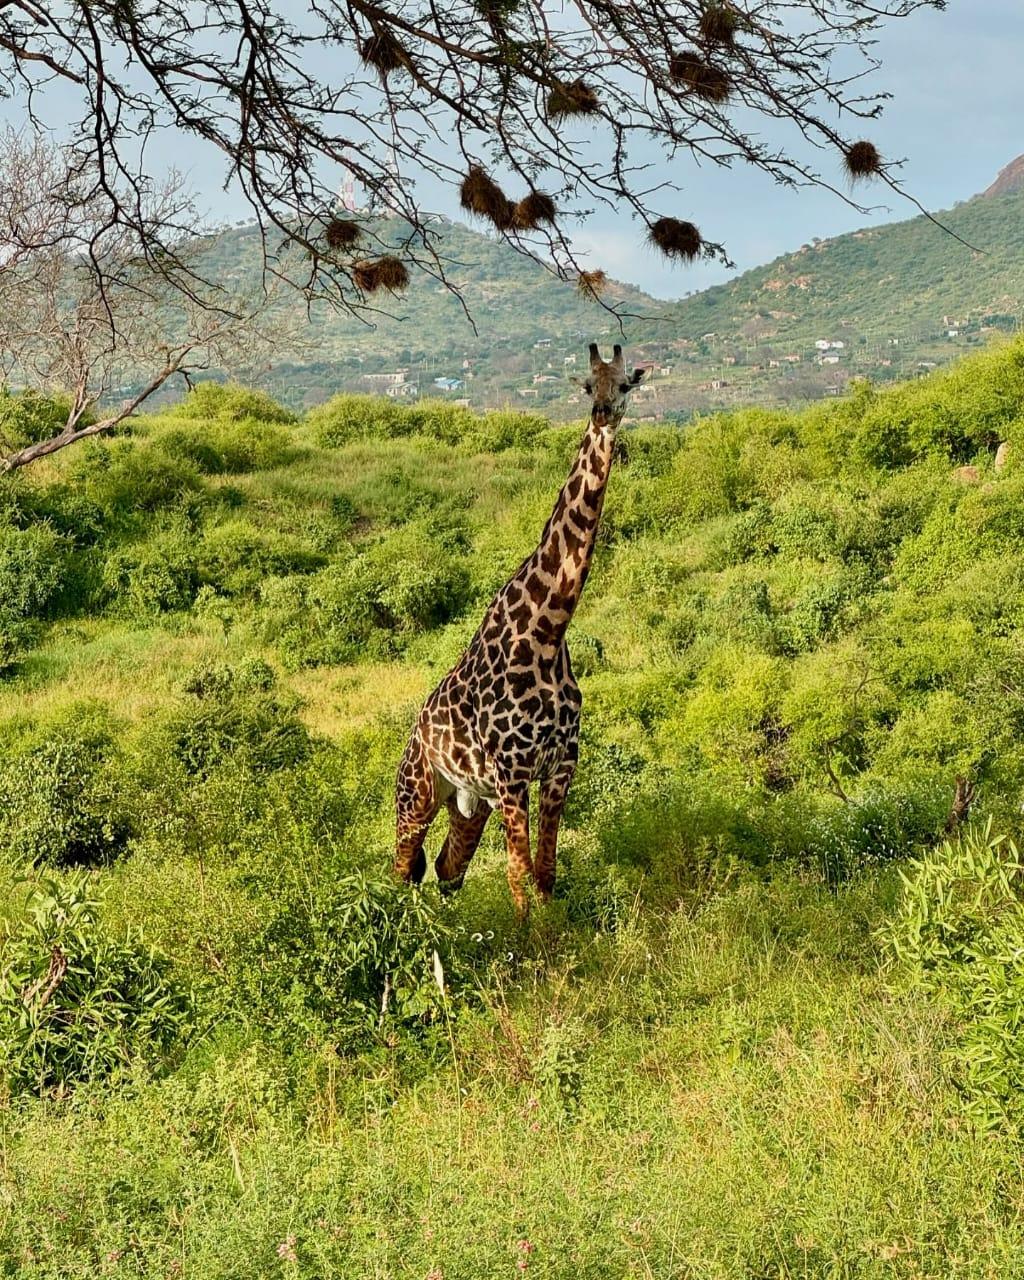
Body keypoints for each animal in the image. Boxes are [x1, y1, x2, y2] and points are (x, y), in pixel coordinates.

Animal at [394, 343, 646, 915]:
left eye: (625, 384)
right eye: (587, 385)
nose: (603, 414)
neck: (548, 630)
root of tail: (415, 730)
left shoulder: (559, 767)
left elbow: (546, 873)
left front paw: (554, 936)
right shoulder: (513, 773)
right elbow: (518, 875)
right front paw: (526, 938)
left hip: (469, 802)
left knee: (446, 868)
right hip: (417, 792)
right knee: (402, 868)